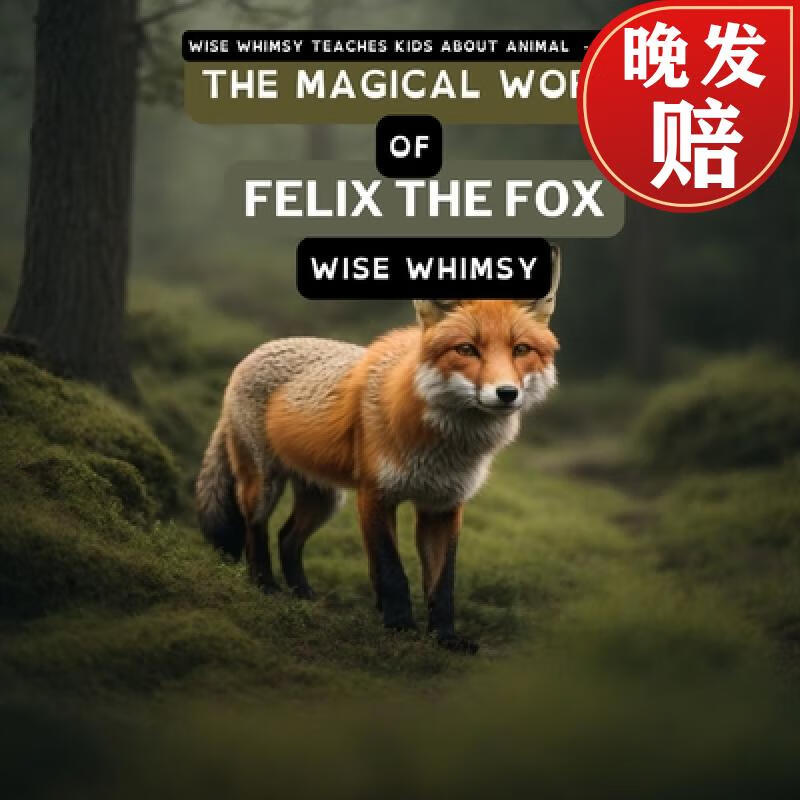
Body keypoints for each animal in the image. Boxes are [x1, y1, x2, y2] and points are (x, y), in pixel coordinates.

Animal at [196, 246, 561, 653]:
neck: (442, 449)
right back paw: (265, 587)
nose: (506, 393)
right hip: (265, 485)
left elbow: (442, 585)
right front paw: (399, 626)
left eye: (521, 350)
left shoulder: (443, 506)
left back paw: (303, 595)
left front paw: (444, 638)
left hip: (324, 500)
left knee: (287, 538)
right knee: (256, 532)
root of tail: (253, 352)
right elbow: (391, 572)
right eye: (467, 350)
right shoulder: (375, 496)